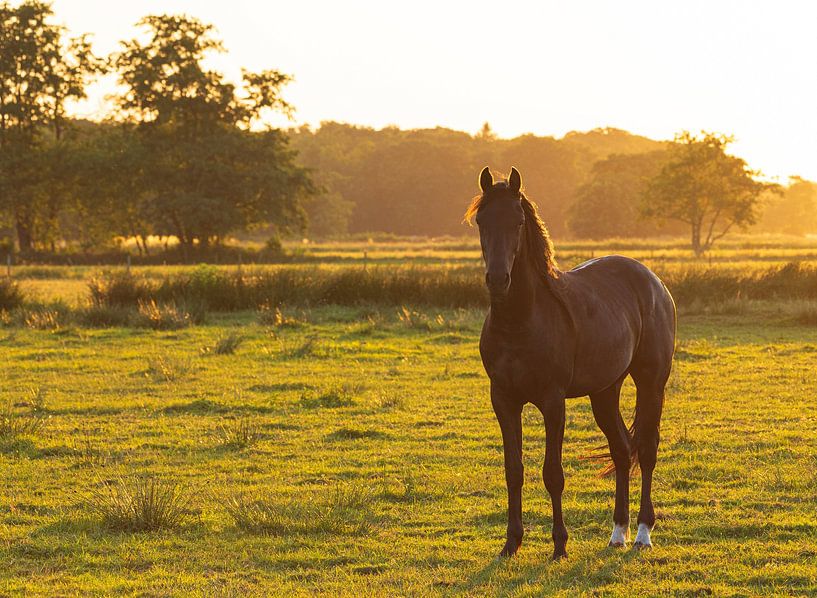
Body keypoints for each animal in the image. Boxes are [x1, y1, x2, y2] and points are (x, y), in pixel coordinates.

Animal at [465, 166, 676, 561]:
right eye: (481, 220)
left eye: (518, 221)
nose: (499, 279)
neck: (521, 320)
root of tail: (652, 281)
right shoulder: (503, 400)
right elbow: (513, 470)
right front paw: (511, 543)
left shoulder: (552, 401)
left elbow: (553, 473)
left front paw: (560, 545)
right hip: (605, 391)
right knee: (622, 450)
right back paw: (617, 532)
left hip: (651, 382)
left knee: (647, 450)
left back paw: (642, 533)